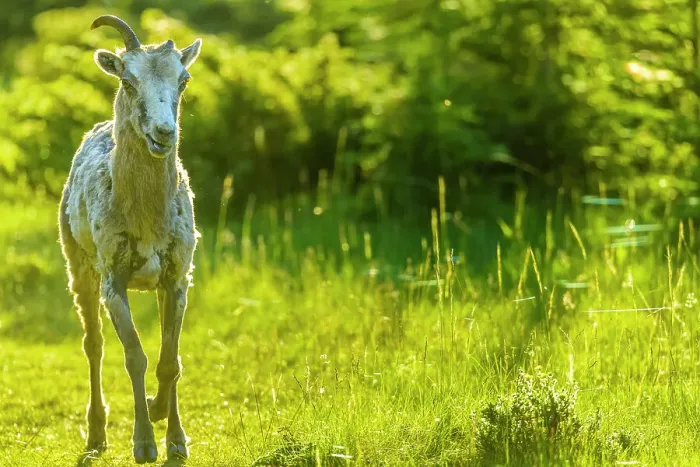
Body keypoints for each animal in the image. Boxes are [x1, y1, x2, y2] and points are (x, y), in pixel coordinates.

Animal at [58, 15, 202, 464]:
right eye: (128, 80)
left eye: (184, 79)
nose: (163, 133)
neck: (147, 224)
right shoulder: (113, 279)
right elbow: (135, 355)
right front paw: (144, 443)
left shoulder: (178, 276)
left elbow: (171, 358)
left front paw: (174, 436)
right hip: (77, 264)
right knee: (94, 344)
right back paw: (96, 435)